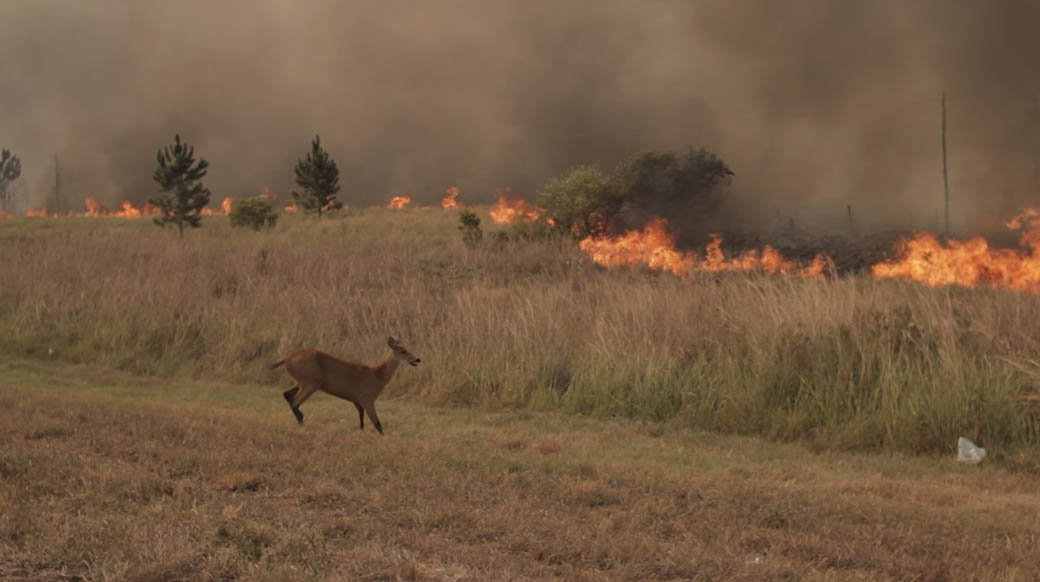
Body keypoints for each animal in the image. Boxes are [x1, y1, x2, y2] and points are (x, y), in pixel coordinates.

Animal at [269, 336, 420, 434]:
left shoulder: (357, 401)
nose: (418, 359)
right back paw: (302, 425)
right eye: (403, 351)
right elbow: (378, 424)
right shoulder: (367, 399)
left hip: (302, 382)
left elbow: (361, 421)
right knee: (295, 402)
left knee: (287, 395)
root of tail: (286, 359)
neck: (377, 375)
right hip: (310, 383)